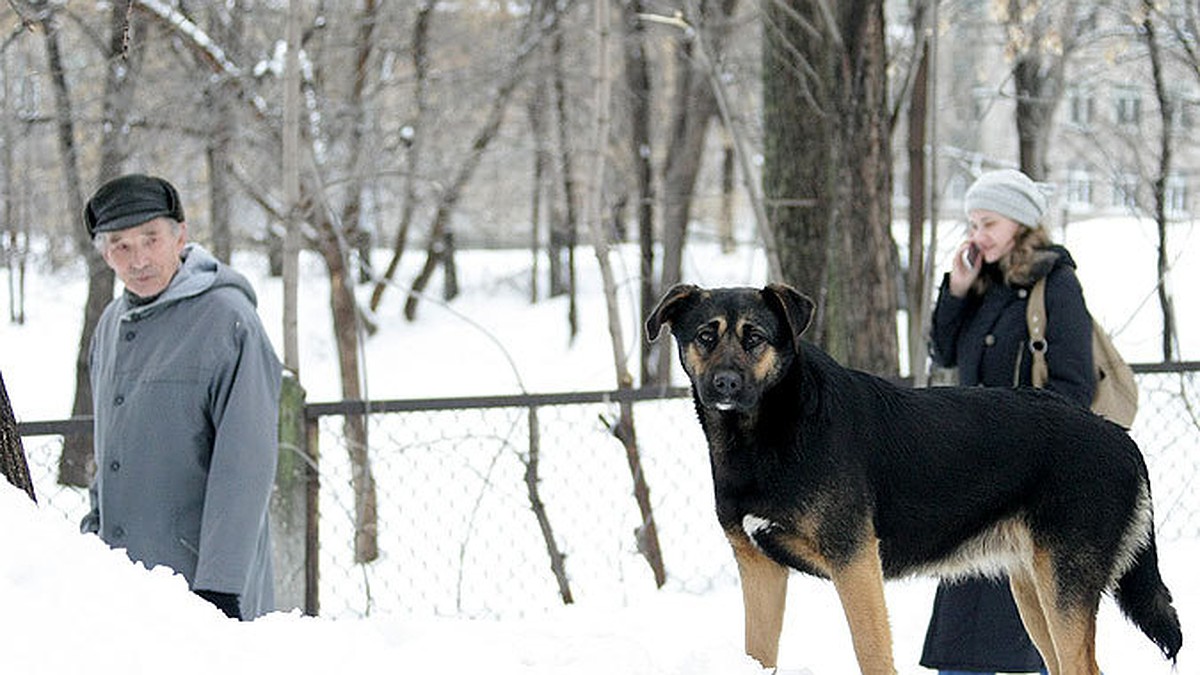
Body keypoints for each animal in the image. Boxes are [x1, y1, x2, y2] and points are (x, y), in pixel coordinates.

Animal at [648, 282, 1180, 672]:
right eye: (705, 337)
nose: (725, 385)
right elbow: (758, 654)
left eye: (755, 337)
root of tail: (1119, 437)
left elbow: (871, 652)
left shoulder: (854, 562)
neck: (771, 431)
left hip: (1063, 588)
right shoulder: (759, 567)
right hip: (1033, 590)